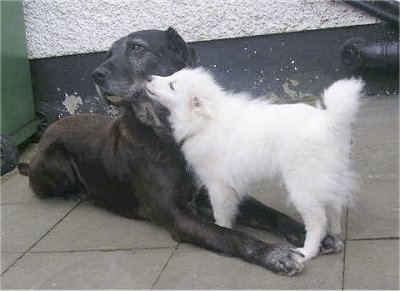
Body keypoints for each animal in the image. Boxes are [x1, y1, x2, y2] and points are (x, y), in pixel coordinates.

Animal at [18, 26, 336, 276]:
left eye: (136, 48)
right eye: (107, 54)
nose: (96, 74)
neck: (169, 134)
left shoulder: (218, 188)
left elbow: (269, 213)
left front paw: (313, 235)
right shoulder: (176, 214)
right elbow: (231, 234)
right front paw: (274, 254)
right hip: (54, 159)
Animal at [146, 68, 362, 262]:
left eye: (172, 85)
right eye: (171, 75)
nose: (148, 78)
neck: (205, 121)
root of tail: (329, 122)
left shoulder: (218, 186)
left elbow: (221, 215)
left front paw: (222, 228)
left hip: (303, 186)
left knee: (317, 222)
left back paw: (307, 252)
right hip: (324, 177)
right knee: (334, 206)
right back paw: (334, 232)